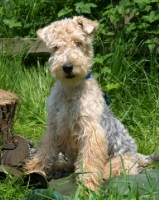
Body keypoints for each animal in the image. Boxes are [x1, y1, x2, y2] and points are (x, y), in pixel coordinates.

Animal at [24, 15, 159, 191]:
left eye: (78, 42)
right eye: (56, 47)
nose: (67, 67)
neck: (71, 91)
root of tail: (138, 155)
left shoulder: (90, 132)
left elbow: (89, 163)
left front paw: (87, 186)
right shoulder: (54, 128)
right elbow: (45, 152)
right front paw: (34, 171)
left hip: (118, 163)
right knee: (69, 164)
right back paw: (59, 167)